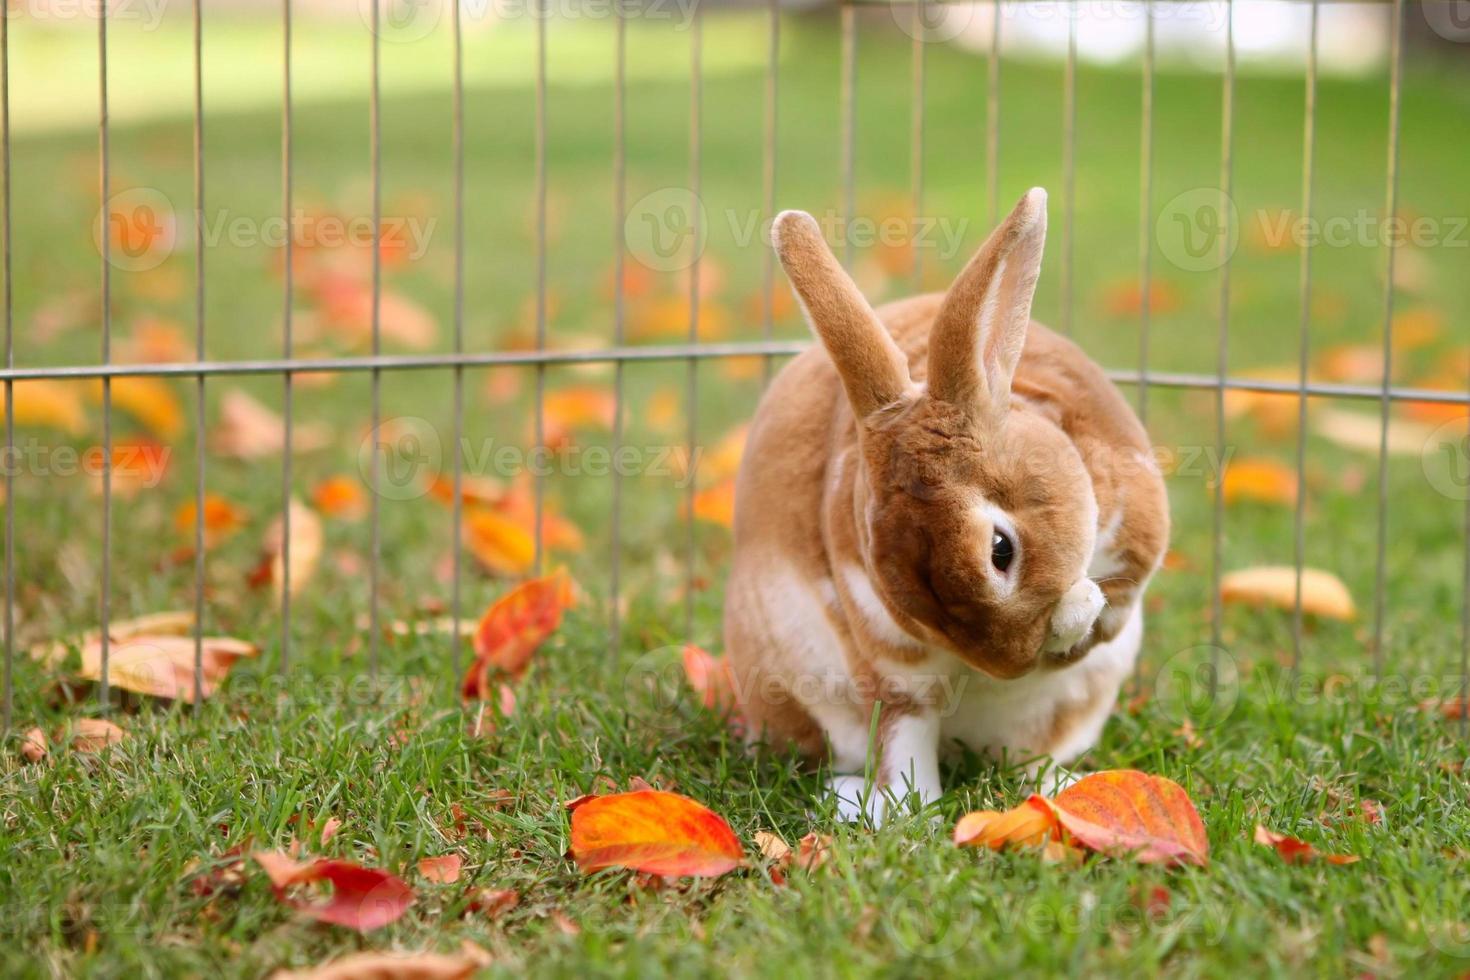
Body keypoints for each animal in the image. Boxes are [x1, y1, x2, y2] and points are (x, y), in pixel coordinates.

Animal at [726, 188, 1170, 822]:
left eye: (1000, 550)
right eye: (884, 571)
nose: (1008, 666)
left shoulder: (1132, 562)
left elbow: (1096, 624)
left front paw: (1077, 607)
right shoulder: (888, 647)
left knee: (1024, 757)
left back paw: (1069, 791)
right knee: (904, 740)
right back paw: (882, 810)